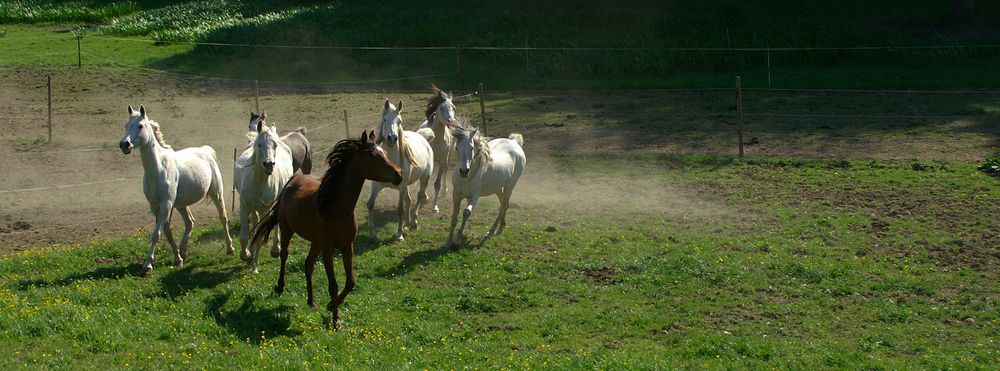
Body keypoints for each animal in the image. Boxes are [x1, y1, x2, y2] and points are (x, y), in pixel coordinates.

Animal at [118, 105, 233, 276]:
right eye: (126, 125)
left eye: (140, 126)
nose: (124, 144)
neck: (158, 169)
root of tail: (206, 151)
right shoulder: (156, 206)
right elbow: (166, 231)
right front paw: (177, 258)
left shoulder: (166, 204)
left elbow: (156, 234)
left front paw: (148, 265)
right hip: (181, 205)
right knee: (190, 223)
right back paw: (183, 251)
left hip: (216, 194)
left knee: (223, 218)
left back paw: (230, 248)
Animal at [234, 122, 292, 274]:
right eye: (259, 144)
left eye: (274, 145)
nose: (269, 164)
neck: (259, 182)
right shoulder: (244, 207)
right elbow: (244, 236)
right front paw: (247, 255)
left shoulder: (266, 209)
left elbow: (260, 235)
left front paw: (254, 266)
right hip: (255, 209)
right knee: (255, 223)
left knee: (275, 224)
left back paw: (275, 250)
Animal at [250, 132, 402, 328]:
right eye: (373, 156)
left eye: (385, 153)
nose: (399, 174)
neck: (336, 208)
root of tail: (294, 179)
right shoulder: (328, 249)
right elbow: (333, 284)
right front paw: (336, 320)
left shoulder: (347, 246)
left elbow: (350, 282)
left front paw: (331, 305)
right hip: (287, 230)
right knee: (284, 255)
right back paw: (280, 287)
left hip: (316, 242)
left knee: (308, 264)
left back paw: (311, 301)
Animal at [364, 99, 434, 243]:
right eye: (384, 119)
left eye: (400, 121)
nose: (392, 138)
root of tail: (422, 137)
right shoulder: (376, 185)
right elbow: (370, 204)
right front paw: (371, 234)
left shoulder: (401, 187)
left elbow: (400, 209)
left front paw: (399, 235)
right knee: (409, 200)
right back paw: (407, 224)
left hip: (424, 178)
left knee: (419, 196)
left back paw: (413, 222)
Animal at [416, 85, 458, 214]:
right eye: (441, 107)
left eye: (453, 107)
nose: (451, 122)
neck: (436, 139)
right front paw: (425, 197)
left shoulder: (443, 160)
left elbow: (437, 184)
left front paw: (435, 207)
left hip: (448, 158)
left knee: (445, 171)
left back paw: (445, 190)